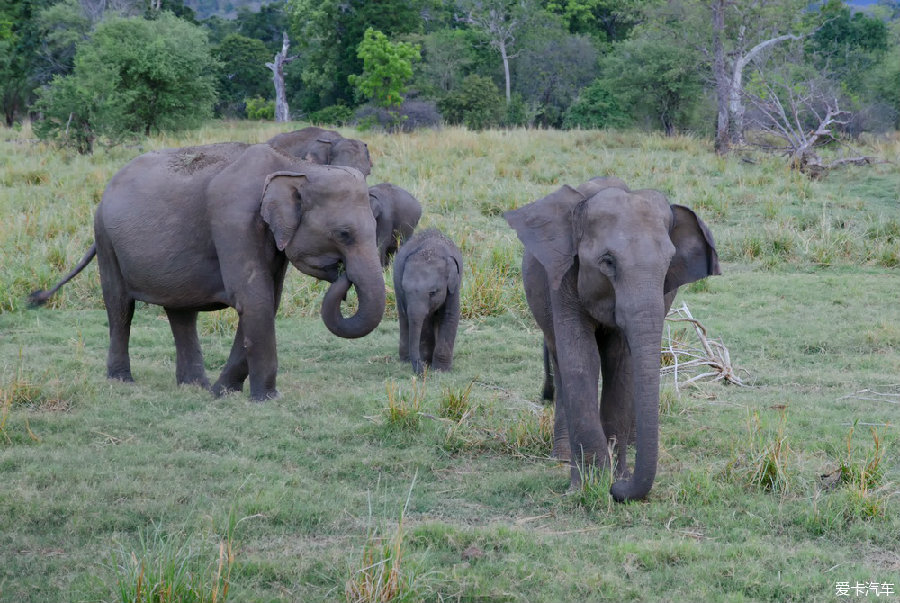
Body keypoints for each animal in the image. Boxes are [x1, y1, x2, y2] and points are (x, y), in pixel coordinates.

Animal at [27, 142, 386, 402]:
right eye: (344, 234)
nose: (341, 274)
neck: (296, 167)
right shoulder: (233, 219)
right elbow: (253, 298)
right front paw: (266, 399)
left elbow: (267, 300)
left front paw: (221, 392)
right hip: (105, 238)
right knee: (119, 306)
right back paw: (122, 380)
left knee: (181, 313)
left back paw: (194, 386)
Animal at [394, 229, 464, 376]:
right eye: (405, 290)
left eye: (433, 292)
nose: (421, 373)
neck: (430, 251)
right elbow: (424, 321)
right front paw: (426, 362)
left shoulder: (453, 286)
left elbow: (450, 316)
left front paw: (440, 369)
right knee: (404, 316)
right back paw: (405, 360)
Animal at [502, 180, 720, 504]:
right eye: (607, 262)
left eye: (668, 263)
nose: (620, 490)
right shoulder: (564, 277)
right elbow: (581, 360)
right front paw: (590, 485)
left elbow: (621, 365)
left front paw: (614, 479)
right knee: (560, 362)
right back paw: (563, 456)